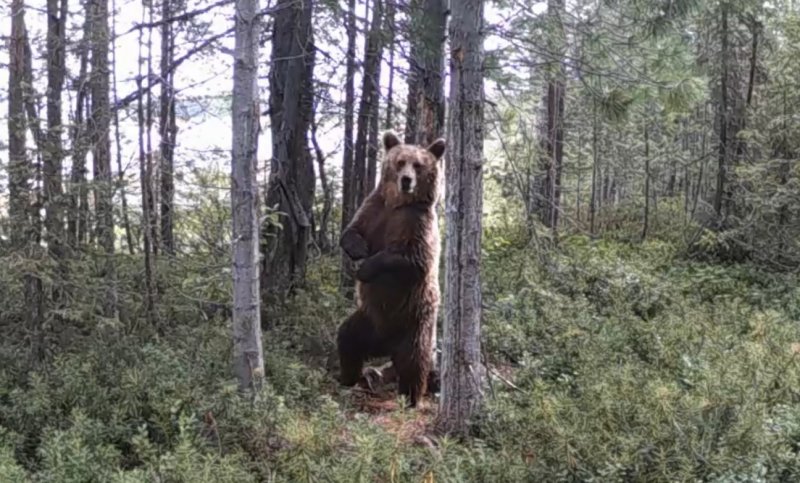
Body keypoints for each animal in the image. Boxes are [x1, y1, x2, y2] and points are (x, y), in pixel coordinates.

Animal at [336, 130, 444, 406]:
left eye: (418, 165)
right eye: (400, 161)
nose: (406, 180)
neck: (398, 204)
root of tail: (386, 345)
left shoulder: (416, 224)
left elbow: (410, 261)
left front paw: (365, 268)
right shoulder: (375, 208)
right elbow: (351, 231)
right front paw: (358, 250)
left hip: (414, 323)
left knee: (414, 362)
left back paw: (410, 398)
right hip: (368, 320)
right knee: (347, 339)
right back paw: (348, 378)